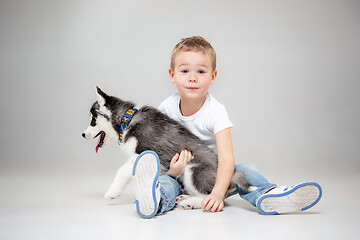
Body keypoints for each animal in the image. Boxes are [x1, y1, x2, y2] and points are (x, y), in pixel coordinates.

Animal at [82, 87, 252, 209]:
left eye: (93, 121)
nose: (82, 134)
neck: (127, 120)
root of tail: (231, 177)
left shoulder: (143, 153)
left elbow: (122, 171)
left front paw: (112, 192)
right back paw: (184, 198)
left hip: (193, 169)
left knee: (212, 199)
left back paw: (190, 202)